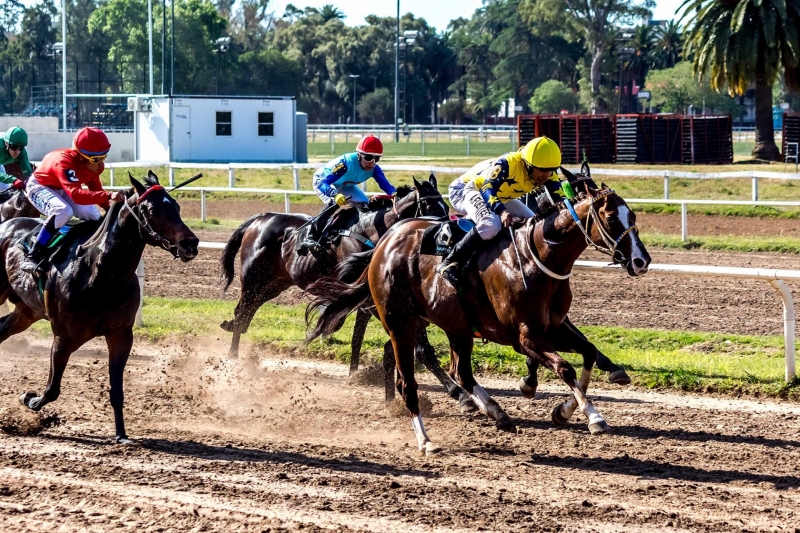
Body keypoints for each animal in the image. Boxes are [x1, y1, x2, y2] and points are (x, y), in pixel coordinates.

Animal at [3, 170, 198, 440]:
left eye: (177, 207)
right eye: (152, 210)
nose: (190, 243)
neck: (100, 275)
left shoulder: (121, 335)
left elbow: (117, 391)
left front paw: (121, 434)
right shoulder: (64, 337)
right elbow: (52, 389)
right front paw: (28, 398)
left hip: (26, 312)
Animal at [306, 180, 648, 454]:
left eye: (632, 216)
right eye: (609, 217)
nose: (641, 260)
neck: (535, 257)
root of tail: (383, 242)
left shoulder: (553, 328)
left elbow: (588, 353)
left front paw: (563, 410)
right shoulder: (524, 336)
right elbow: (565, 368)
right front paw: (593, 416)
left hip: (455, 326)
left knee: (461, 372)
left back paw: (495, 412)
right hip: (401, 322)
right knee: (410, 381)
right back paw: (426, 440)